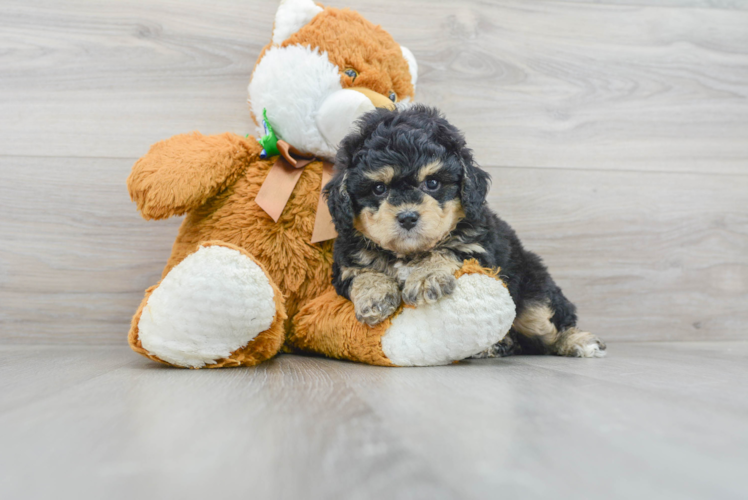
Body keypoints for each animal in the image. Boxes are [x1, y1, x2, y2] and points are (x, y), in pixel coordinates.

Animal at [324, 105, 604, 358]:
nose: (407, 217)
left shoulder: (475, 247)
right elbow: (363, 272)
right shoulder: (347, 258)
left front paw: (426, 277)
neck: (409, 253)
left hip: (531, 291)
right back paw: (498, 345)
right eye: (379, 189)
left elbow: (445, 250)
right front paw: (375, 296)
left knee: (545, 325)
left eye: (432, 183)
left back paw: (578, 341)